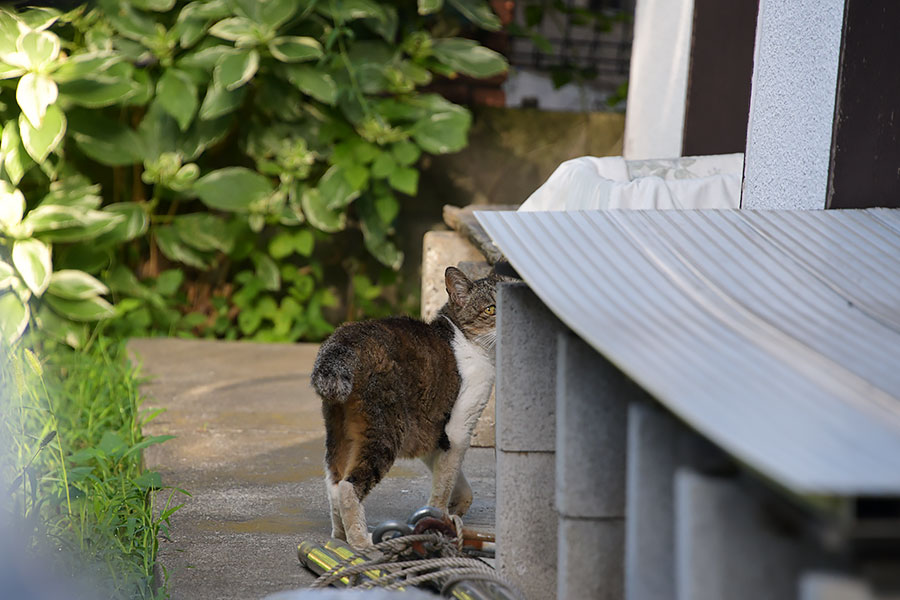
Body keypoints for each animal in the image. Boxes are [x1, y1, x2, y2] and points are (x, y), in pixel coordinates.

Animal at [312, 268, 502, 548]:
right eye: (491, 309)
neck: (469, 343)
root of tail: (345, 339)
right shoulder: (458, 429)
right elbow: (445, 482)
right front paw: (439, 520)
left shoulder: (432, 434)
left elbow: (458, 482)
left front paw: (453, 512)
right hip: (386, 430)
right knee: (348, 486)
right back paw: (361, 542)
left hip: (340, 430)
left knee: (333, 482)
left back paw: (340, 536)